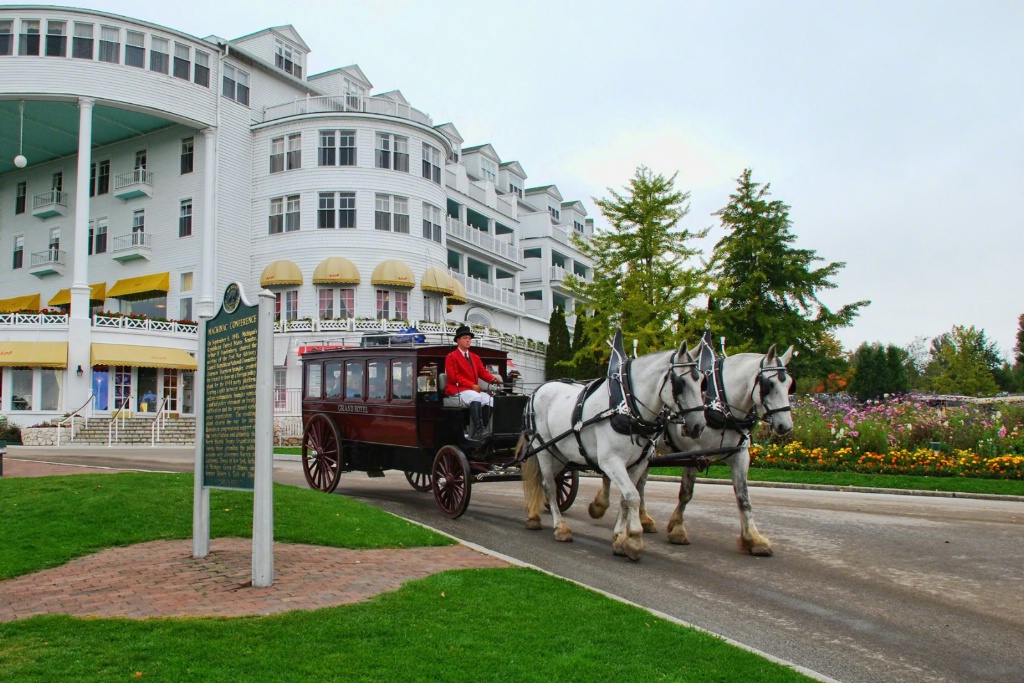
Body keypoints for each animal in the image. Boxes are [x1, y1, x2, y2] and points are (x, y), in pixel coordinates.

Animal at [524, 342, 708, 561]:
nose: (698, 426)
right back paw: (560, 527)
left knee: (548, 481)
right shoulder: (611, 462)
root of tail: (539, 388)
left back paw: (534, 517)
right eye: (681, 382)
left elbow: (626, 498)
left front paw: (620, 539)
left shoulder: (638, 464)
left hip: (560, 453)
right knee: (550, 486)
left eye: (702, 383)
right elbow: (633, 496)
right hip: (543, 447)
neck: (627, 408)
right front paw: (635, 540)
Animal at [589, 344, 794, 557]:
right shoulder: (695, 453)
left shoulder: (740, 455)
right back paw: (601, 505)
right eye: (769, 385)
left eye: (790, 385)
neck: (722, 404)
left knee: (640, 483)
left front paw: (754, 539)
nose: (785, 426)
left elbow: (743, 497)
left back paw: (643, 519)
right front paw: (677, 530)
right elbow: (686, 493)